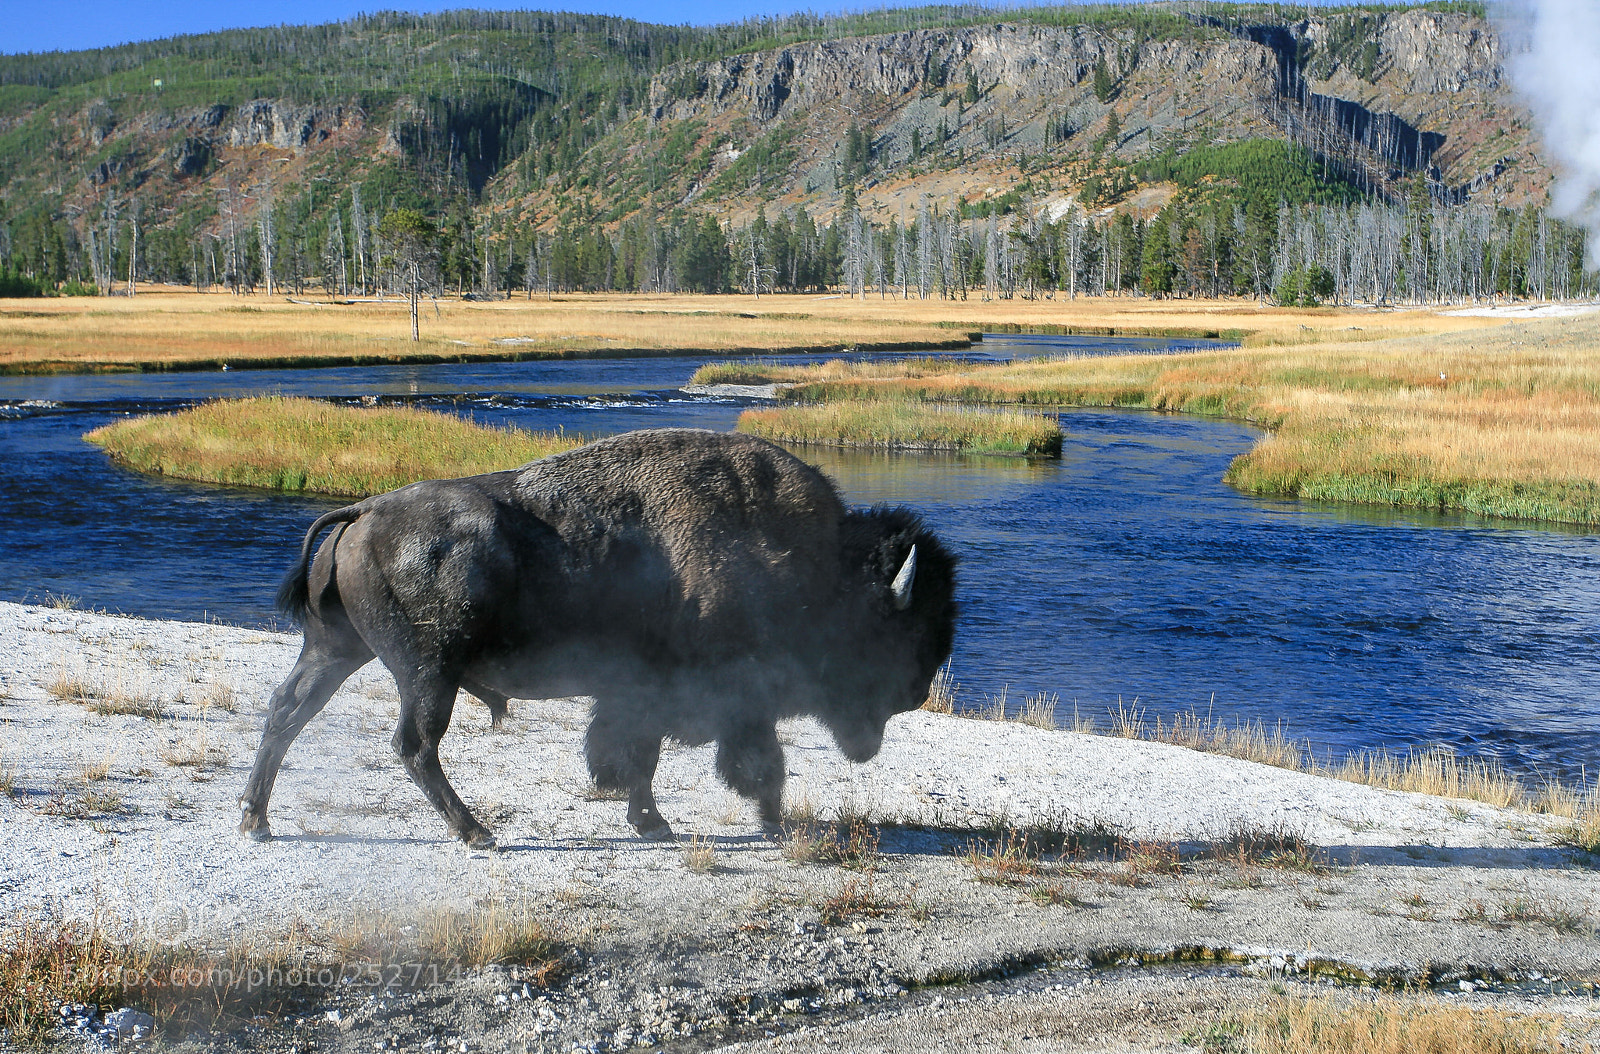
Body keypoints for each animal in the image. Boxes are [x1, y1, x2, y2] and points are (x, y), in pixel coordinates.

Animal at [239, 428, 957, 848]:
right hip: (428, 672)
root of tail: (363, 511)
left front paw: (656, 820)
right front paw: (737, 818)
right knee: (413, 746)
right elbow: (710, 759)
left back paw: (256, 820)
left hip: (337, 650)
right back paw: (477, 834)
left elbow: (640, 758)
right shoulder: (704, 695)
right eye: (892, 630)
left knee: (287, 710)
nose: (916, 692)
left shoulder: (648, 696)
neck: (812, 564)